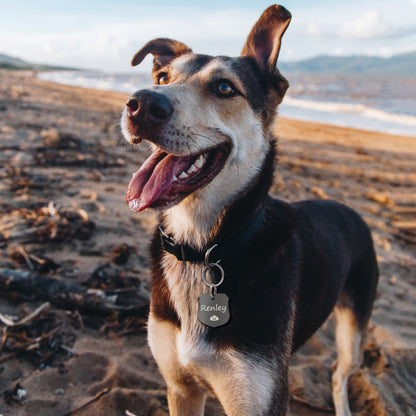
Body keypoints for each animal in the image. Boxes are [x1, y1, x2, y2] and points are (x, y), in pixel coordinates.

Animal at [120, 4, 380, 416]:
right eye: (162, 78)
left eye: (225, 88)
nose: (141, 104)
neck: (203, 247)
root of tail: (351, 210)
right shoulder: (180, 388)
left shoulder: (257, 397)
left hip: (355, 327)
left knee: (340, 374)